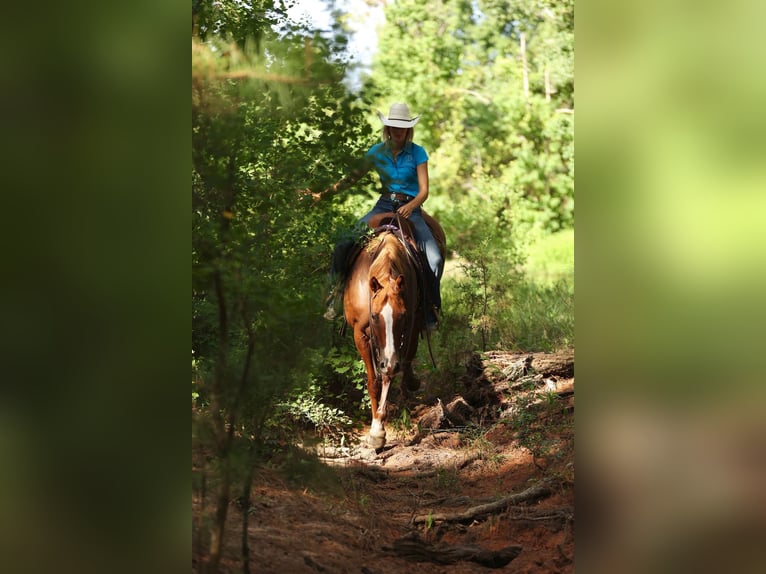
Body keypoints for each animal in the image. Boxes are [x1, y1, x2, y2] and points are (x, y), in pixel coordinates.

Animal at [344, 214, 448, 452]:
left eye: (402, 316)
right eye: (374, 317)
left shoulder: (410, 325)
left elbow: (391, 370)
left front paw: (378, 430)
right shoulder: (360, 334)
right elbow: (373, 380)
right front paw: (375, 427)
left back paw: (409, 386)